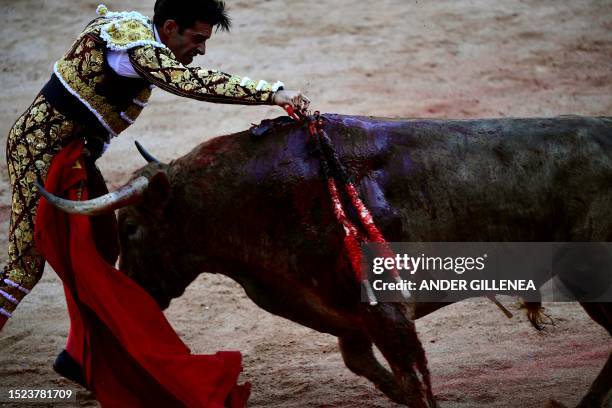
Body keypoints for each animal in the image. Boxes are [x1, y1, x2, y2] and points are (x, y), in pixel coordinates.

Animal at [41, 113, 612, 406]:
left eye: (130, 229)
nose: (132, 291)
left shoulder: (385, 311)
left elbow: (415, 378)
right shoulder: (347, 318)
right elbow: (369, 369)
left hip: (594, 281)